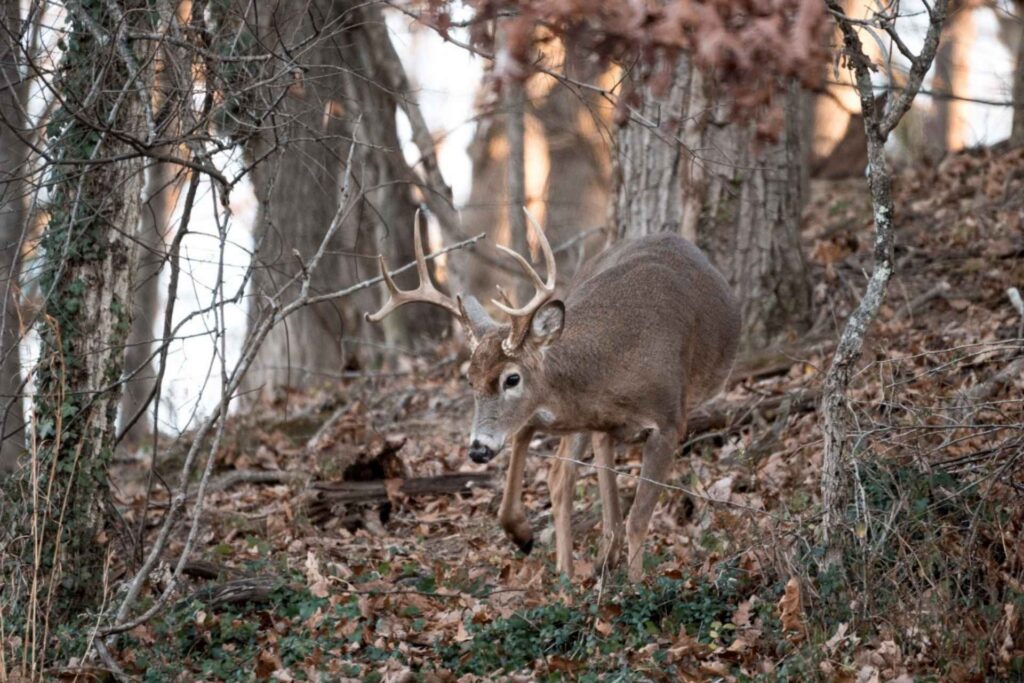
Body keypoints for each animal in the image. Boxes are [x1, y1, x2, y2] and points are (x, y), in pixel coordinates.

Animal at [365, 210, 740, 581]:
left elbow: (636, 518)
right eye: (470, 380)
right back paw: (558, 562)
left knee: (567, 473)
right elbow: (610, 504)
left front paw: (636, 586)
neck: (617, 367)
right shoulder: (597, 419)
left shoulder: (669, 421)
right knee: (557, 470)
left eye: (512, 378)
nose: (478, 449)